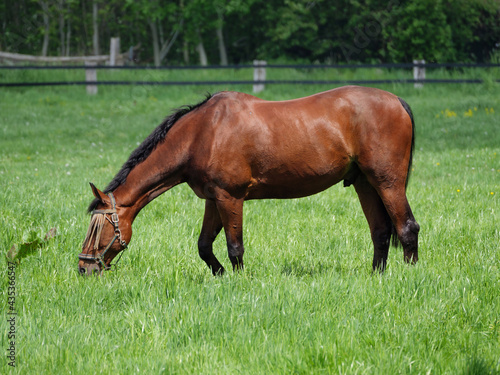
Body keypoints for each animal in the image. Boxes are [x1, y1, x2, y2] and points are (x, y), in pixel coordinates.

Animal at [79, 86, 418, 278]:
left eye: (99, 227)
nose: (84, 268)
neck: (203, 133)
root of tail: (398, 101)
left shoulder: (230, 198)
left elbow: (234, 246)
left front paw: (239, 280)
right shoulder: (214, 199)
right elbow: (204, 245)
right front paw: (219, 275)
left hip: (387, 182)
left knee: (407, 227)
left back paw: (408, 275)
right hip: (365, 183)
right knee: (381, 231)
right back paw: (376, 276)